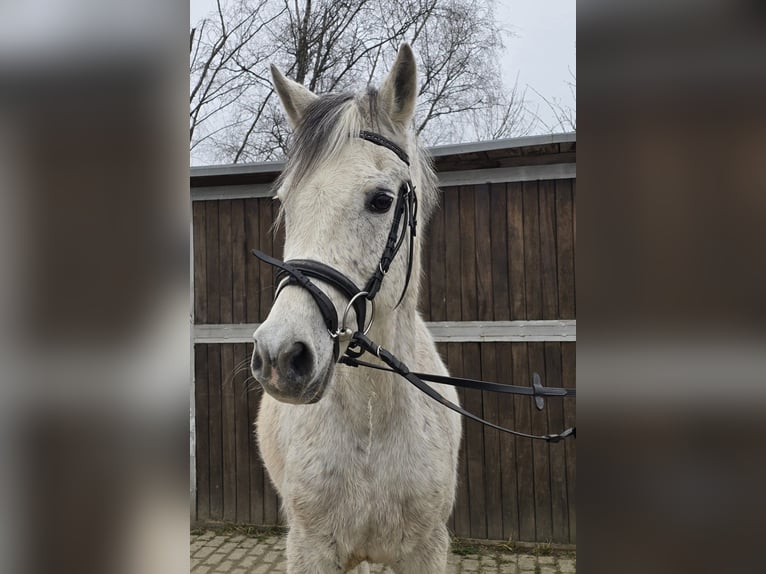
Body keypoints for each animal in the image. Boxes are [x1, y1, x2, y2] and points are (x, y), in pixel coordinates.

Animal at [252, 46, 462, 574]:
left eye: (381, 200)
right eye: (287, 203)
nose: (280, 357)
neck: (372, 421)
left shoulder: (426, 550)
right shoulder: (309, 549)